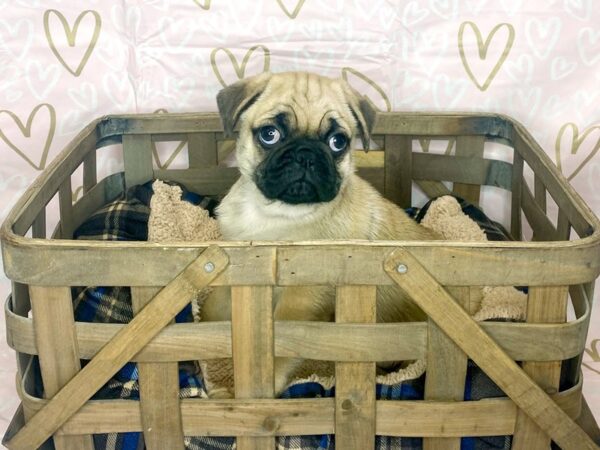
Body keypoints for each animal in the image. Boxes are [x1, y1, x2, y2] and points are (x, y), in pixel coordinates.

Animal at [202, 72, 436, 396]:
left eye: (337, 142)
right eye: (270, 134)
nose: (306, 155)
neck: (278, 214)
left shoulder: (303, 295)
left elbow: (282, 338)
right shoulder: (237, 269)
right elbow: (216, 304)